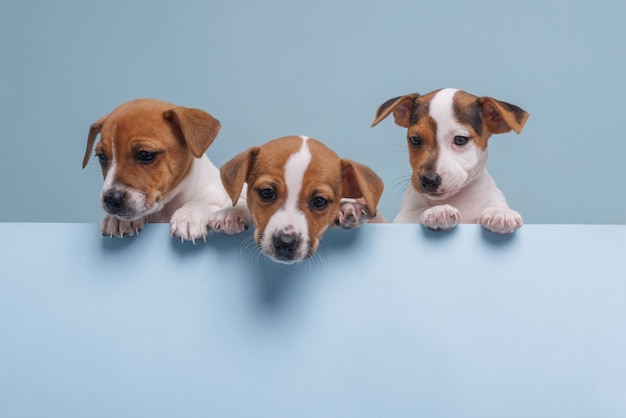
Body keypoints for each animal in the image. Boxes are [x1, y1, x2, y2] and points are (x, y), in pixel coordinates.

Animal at [81, 98, 250, 242]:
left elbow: (202, 202)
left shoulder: (216, 196)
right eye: (101, 157)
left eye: (145, 154)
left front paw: (189, 216)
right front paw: (117, 220)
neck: (166, 208)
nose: (111, 200)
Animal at [370, 88, 528, 233]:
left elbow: (493, 206)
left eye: (460, 139)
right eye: (414, 139)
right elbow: (417, 213)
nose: (429, 180)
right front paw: (438, 210)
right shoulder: (402, 218)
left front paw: (499, 212)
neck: (455, 199)